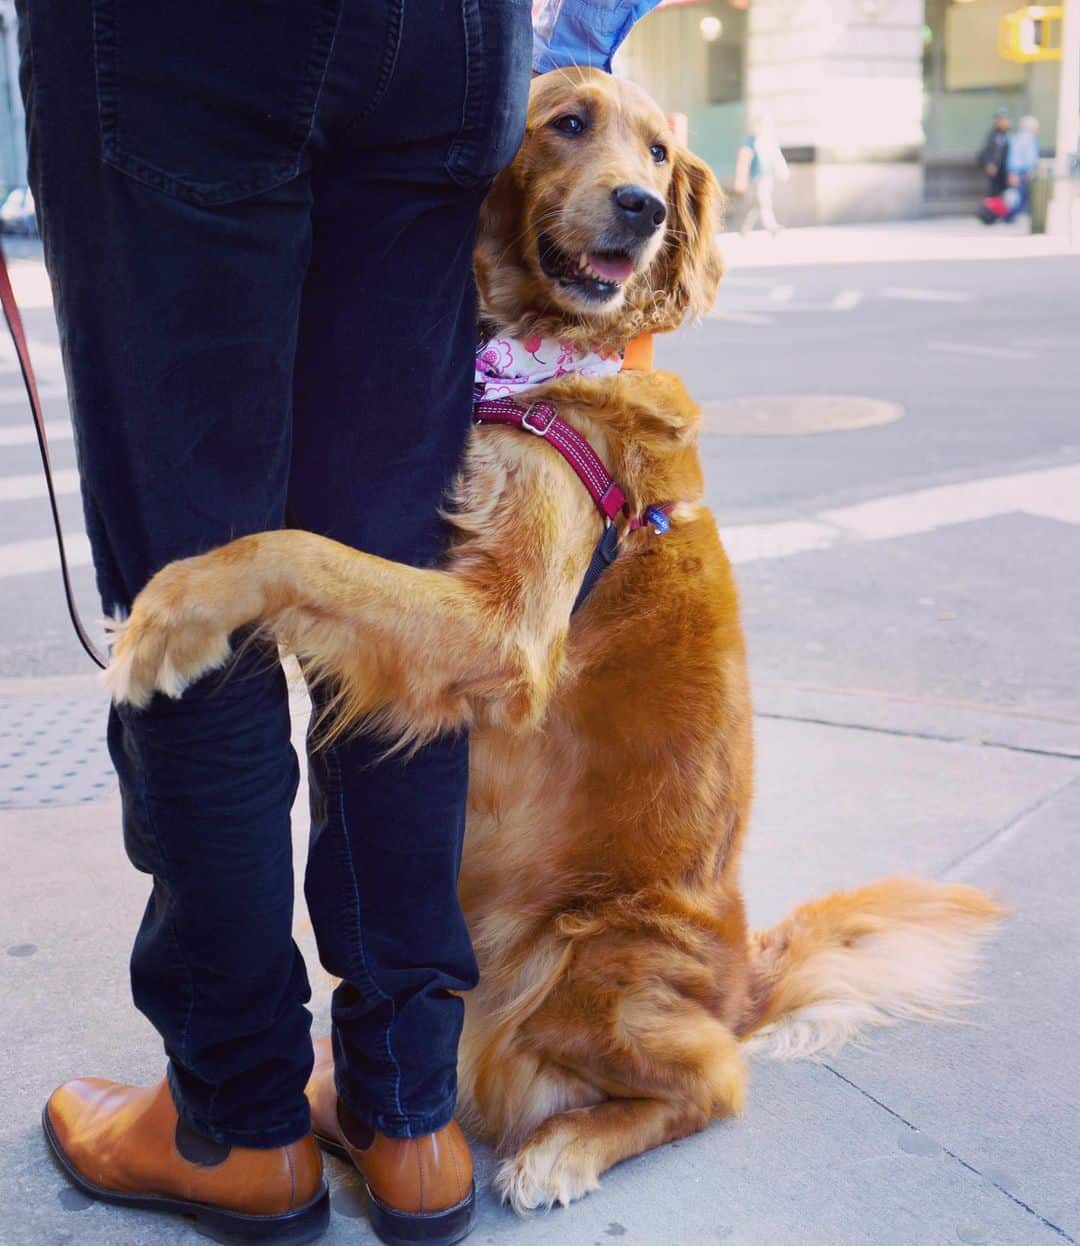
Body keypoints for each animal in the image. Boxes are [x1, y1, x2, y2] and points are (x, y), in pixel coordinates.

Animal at [103, 70, 1006, 1216]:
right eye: (570, 123)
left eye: (661, 152)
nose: (642, 207)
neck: (541, 362)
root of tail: (739, 980)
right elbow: (317, 554)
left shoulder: (508, 627)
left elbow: (296, 547)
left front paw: (174, 612)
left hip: (579, 961)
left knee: (714, 1079)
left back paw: (563, 1147)